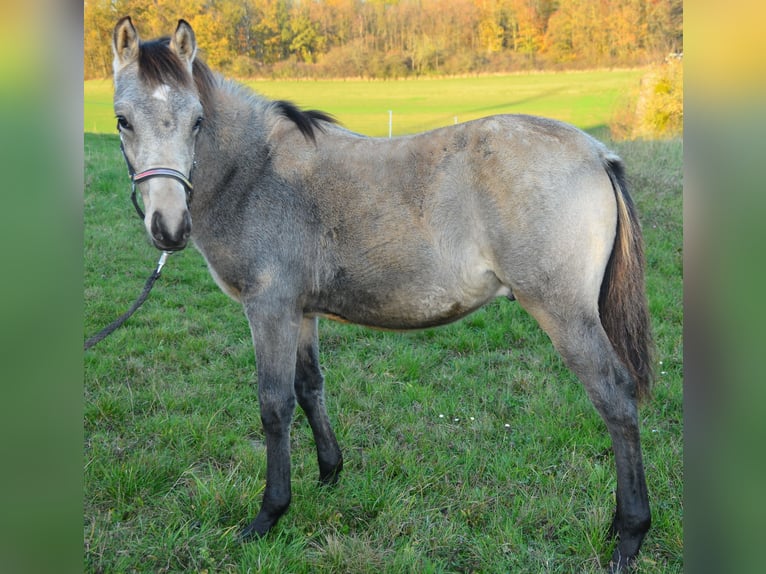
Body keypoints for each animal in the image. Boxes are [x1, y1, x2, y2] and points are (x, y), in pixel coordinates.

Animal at [111, 16, 656, 572]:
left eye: (197, 121)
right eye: (122, 121)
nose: (169, 227)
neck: (255, 171)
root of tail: (597, 153)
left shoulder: (269, 309)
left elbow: (274, 405)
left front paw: (269, 515)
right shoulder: (300, 312)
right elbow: (309, 388)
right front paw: (329, 474)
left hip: (563, 312)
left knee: (614, 396)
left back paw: (629, 535)